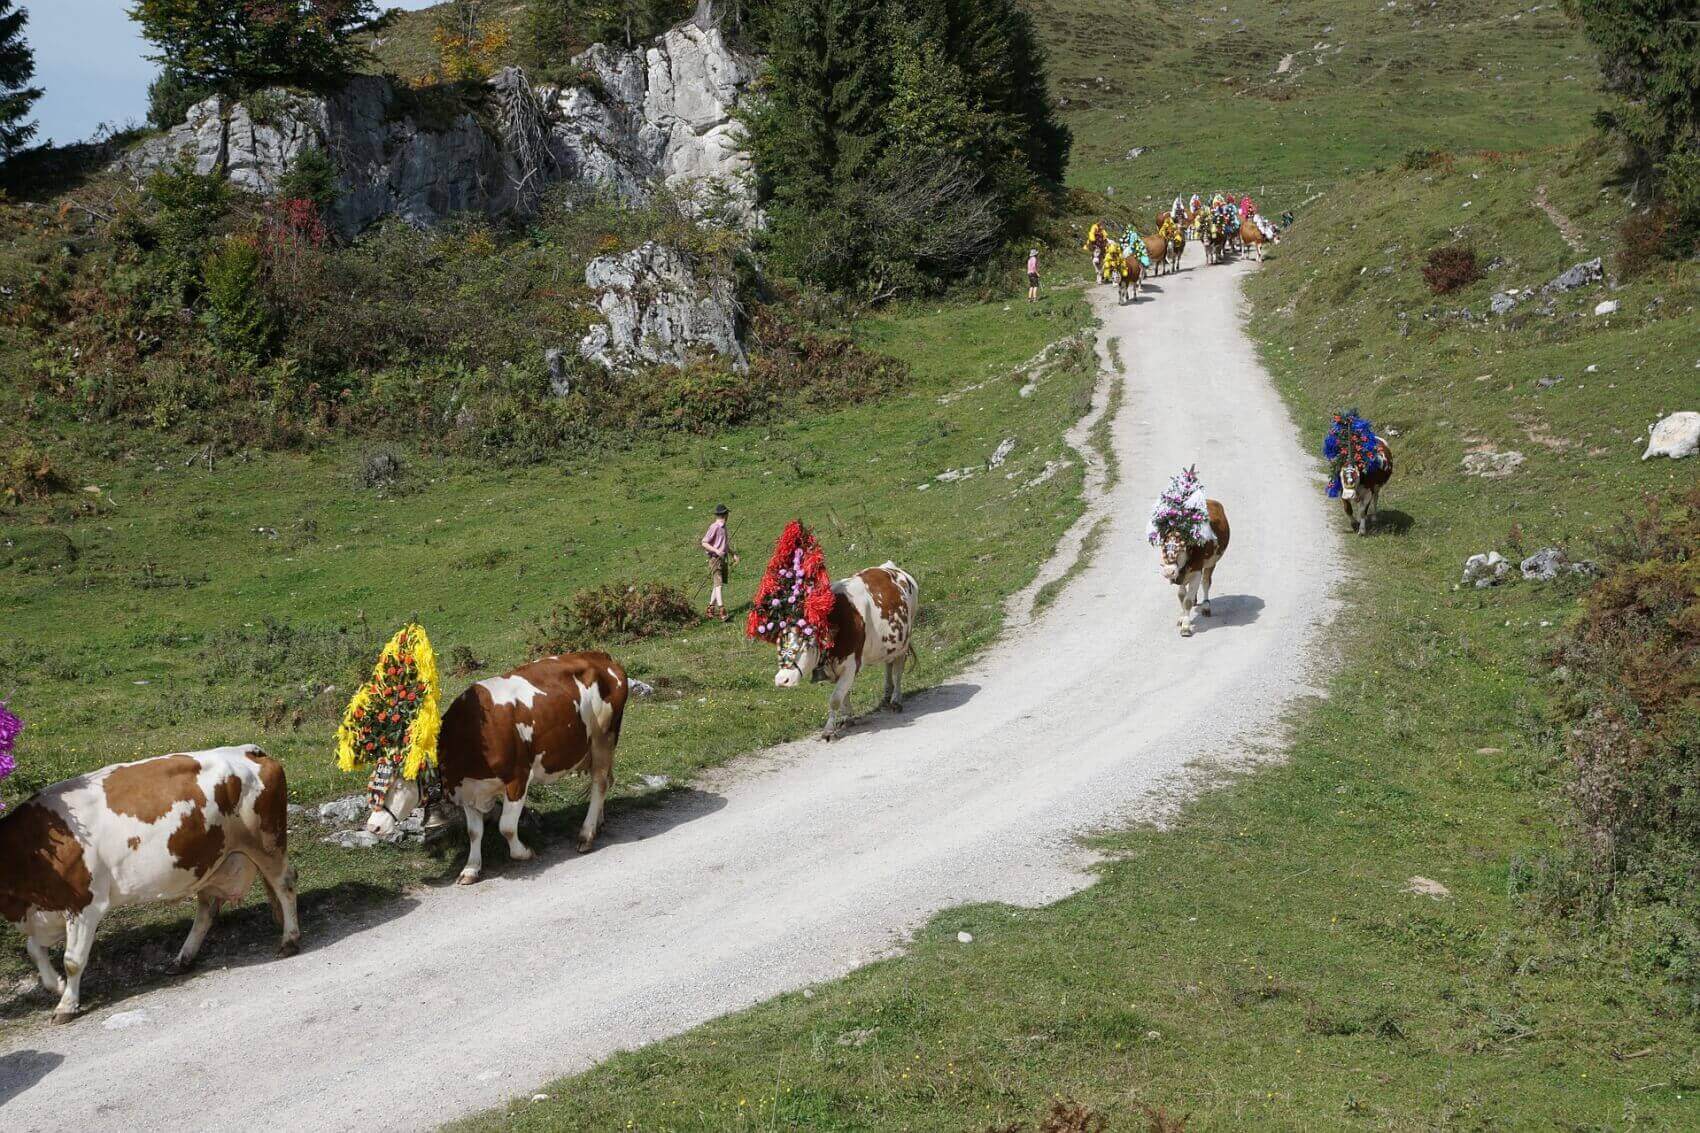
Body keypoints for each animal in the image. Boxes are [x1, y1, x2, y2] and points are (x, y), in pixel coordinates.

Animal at [0, 745, 299, 1020]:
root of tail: (251, 750)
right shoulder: (46, 912)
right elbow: (33, 949)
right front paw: (56, 985)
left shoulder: (84, 903)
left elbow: (72, 960)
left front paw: (66, 1005)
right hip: (210, 862)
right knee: (207, 909)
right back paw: (183, 959)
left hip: (267, 842)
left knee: (285, 883)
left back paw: (289, 940)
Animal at [370, 653, 632, 884]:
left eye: (397, 784)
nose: (373, 826)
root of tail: (602, 657)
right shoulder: (467, 790)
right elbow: (474, 832)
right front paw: (471, 869)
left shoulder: (518, 778)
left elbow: (506, 826)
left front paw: (524, 852)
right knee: (605, 780)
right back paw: (597, 823)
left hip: (603, 737)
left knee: (600, 782)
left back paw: (586, 834)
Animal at [778, 561, 924, 738]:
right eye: (780, 645)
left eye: (803, 645)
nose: (781, 680)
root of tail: (892, 567)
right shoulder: (833, 667)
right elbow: (843, 696)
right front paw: (847, 718)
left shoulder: (851, 665)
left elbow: (835, 699)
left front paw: (828, 730)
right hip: (890, 643)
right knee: (888, 666)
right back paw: (886, 697)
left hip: (904, 642)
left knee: (897, 672)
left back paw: (896, 701)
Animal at [1156, 500, 1237, 636]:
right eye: (1163, 547)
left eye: (1181, 548)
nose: (1169, 572)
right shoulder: (1181, 574)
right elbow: (1181, 595)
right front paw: (1182, 617)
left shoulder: (1196, 570)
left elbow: (1187, 601)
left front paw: (1186, 627)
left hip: (1211, 563)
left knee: (1206, 582)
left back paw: (1206, 606)